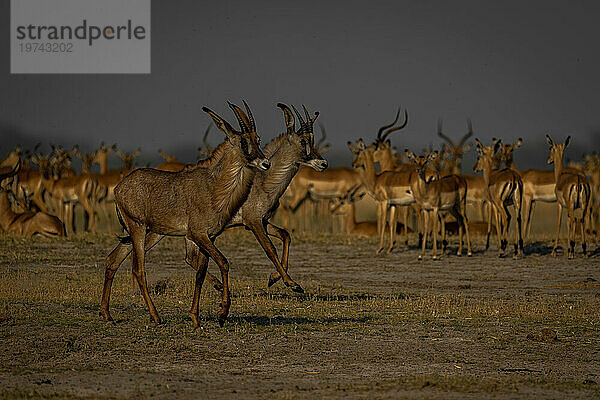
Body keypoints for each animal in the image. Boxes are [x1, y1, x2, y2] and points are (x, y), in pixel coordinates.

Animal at [101, 101, 272, 328]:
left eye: (257, 139)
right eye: (243, 142)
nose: (265, 163)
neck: (213, 186)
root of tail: (119, 187)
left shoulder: (207, 237)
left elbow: (200, 272)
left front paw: (195, 317)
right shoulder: (198, 234)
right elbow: (224, 262)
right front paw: (222, 313)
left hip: (150, 233)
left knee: (113, 259)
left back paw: (106, 314)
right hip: (138, 228)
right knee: (139, 269)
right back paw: (155, 316)